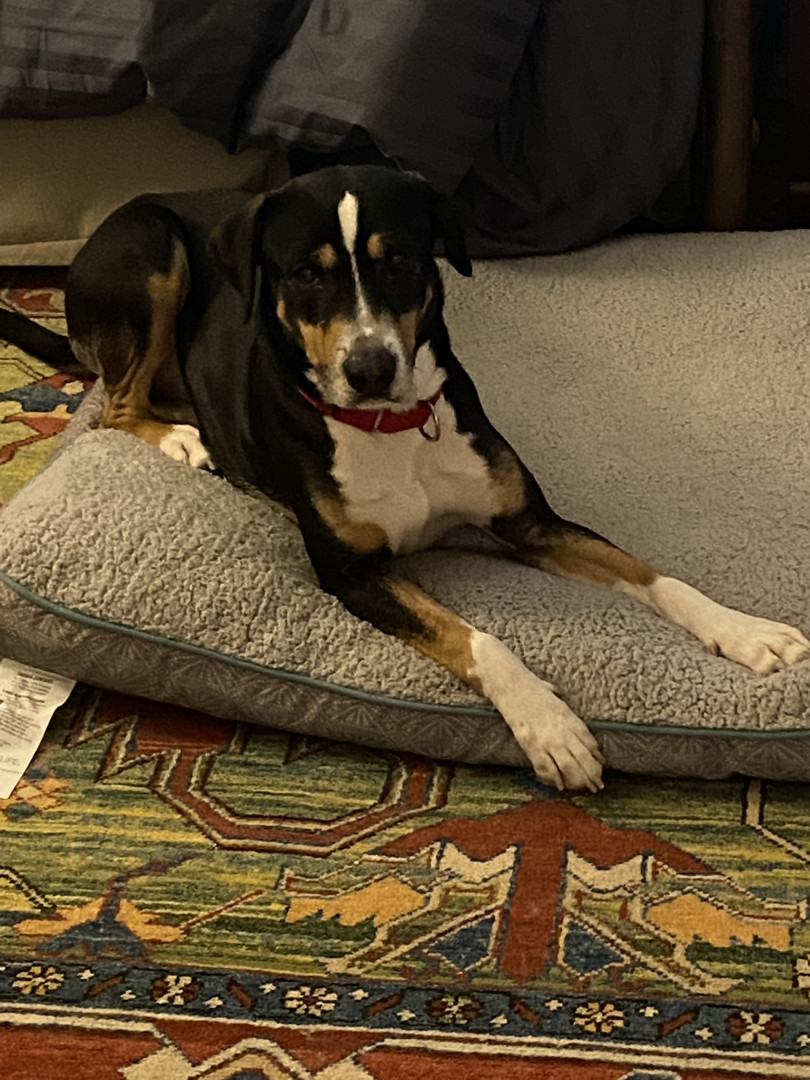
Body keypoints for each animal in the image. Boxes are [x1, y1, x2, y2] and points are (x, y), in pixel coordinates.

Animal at [2, 165, 807, 792]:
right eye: (307, 272)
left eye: (399, 262)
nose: (370, 368)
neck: (392, 429)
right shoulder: (351, 572)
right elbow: (479, 640)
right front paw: (551, 727)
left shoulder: (528, 522)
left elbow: (653, 576)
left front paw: (748, 634)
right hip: (152, 252)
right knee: (116, 405)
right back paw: (179, 440)